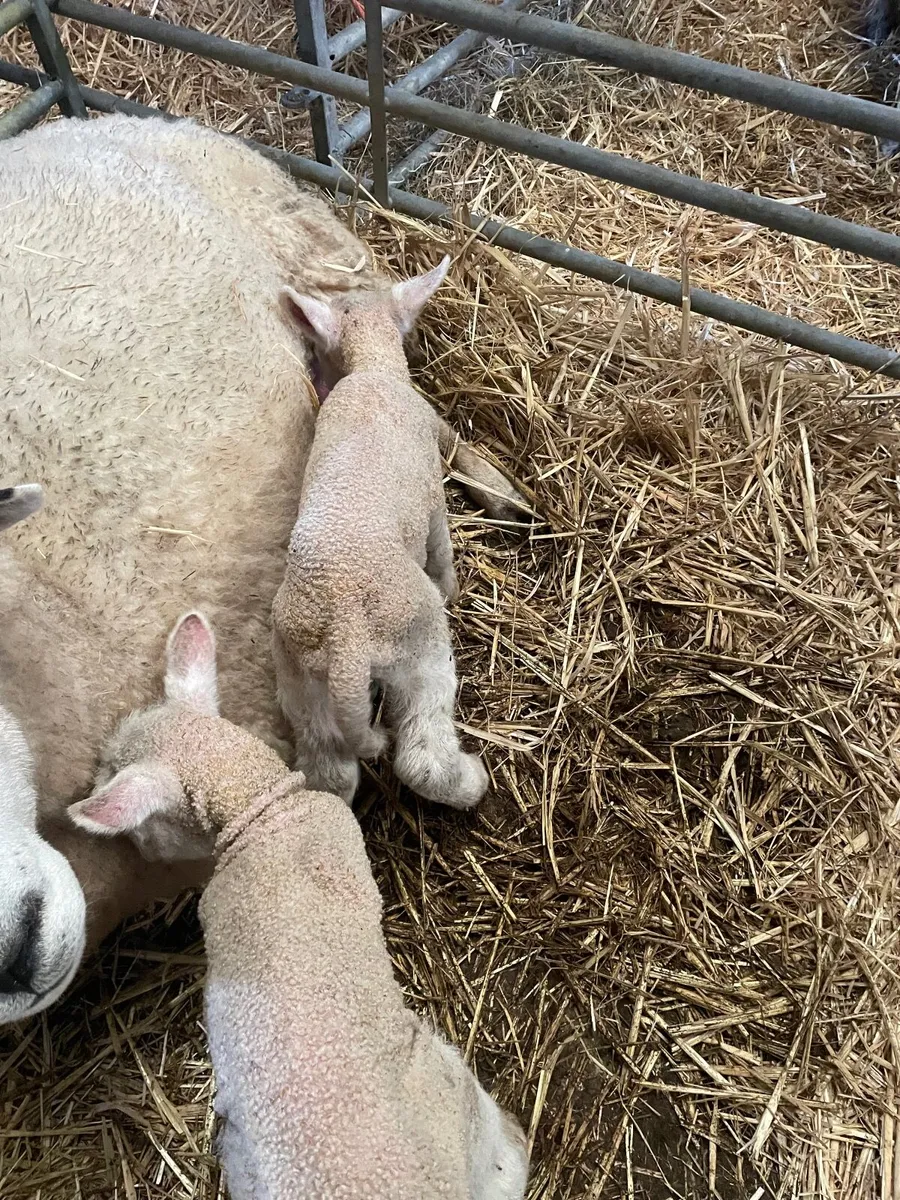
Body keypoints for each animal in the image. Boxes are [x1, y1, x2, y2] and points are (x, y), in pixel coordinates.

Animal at [273, 256, 497, 809]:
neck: (373, 368)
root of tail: (346, 636)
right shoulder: (434, 497)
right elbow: (442, 548)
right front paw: (453, 588)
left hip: (300, 683)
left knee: (329, 770)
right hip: (420, 646)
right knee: (422, 754)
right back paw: (471, 781)